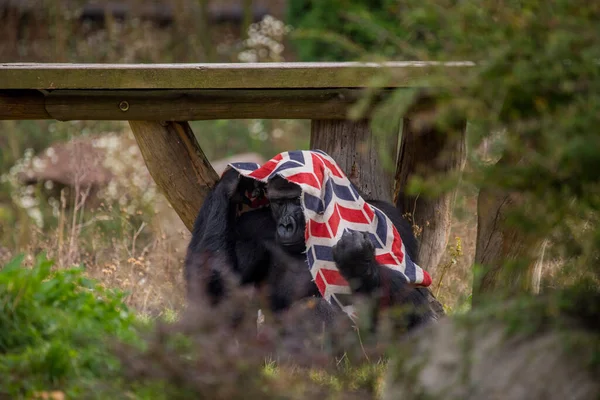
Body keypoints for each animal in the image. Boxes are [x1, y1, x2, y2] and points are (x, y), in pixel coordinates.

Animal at [183, 166, 440, 332]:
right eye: (278, 202)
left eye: (296, 201)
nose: (285, 225)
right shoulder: (250, 228)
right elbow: (214, 288)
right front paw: (230, 183)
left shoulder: (391, 219)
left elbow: (415, 295)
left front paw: (358, 261)